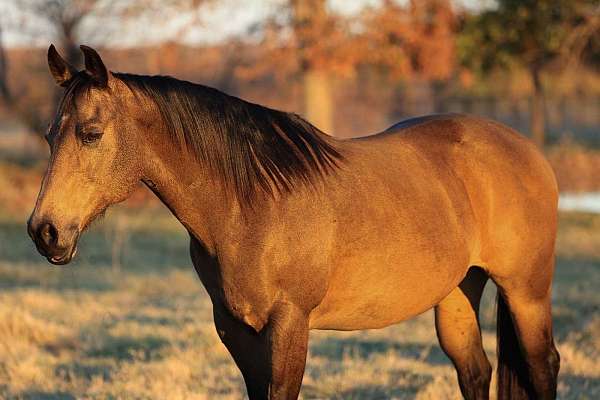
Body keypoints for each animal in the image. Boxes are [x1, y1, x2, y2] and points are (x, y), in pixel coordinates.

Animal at [28, 45, 560, 398]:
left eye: (91, 134)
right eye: (51, 135)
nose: (44, 231)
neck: (249, 206)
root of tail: (528, 150)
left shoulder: (289, 325)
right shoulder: (235, 329)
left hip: (526, 293)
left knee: (542, 367)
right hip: (456, 294)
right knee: (475, 371)